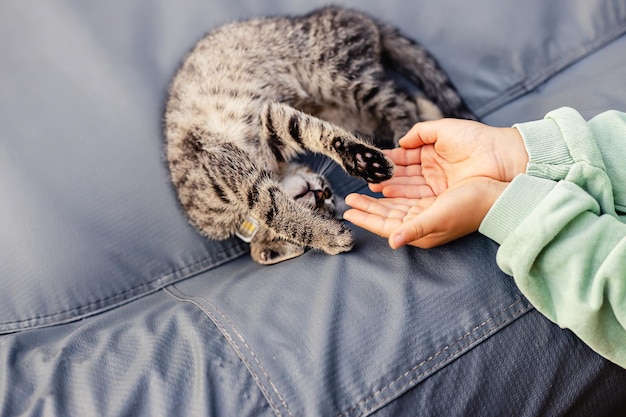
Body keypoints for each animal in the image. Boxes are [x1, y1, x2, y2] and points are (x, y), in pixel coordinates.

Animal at [163, 5, 476, 264]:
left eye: (325, 193)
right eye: (323, 205)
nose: (321, 192)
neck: (273, 169)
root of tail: (334, 10)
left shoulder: (246, 137)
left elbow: (278, 197)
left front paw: (358, 163)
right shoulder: (251, 139)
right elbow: (277, 203)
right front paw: (326, 234)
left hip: (336, 76)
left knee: (400, 102)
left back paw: (402, 140)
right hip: (345, 108)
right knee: (408, 100)